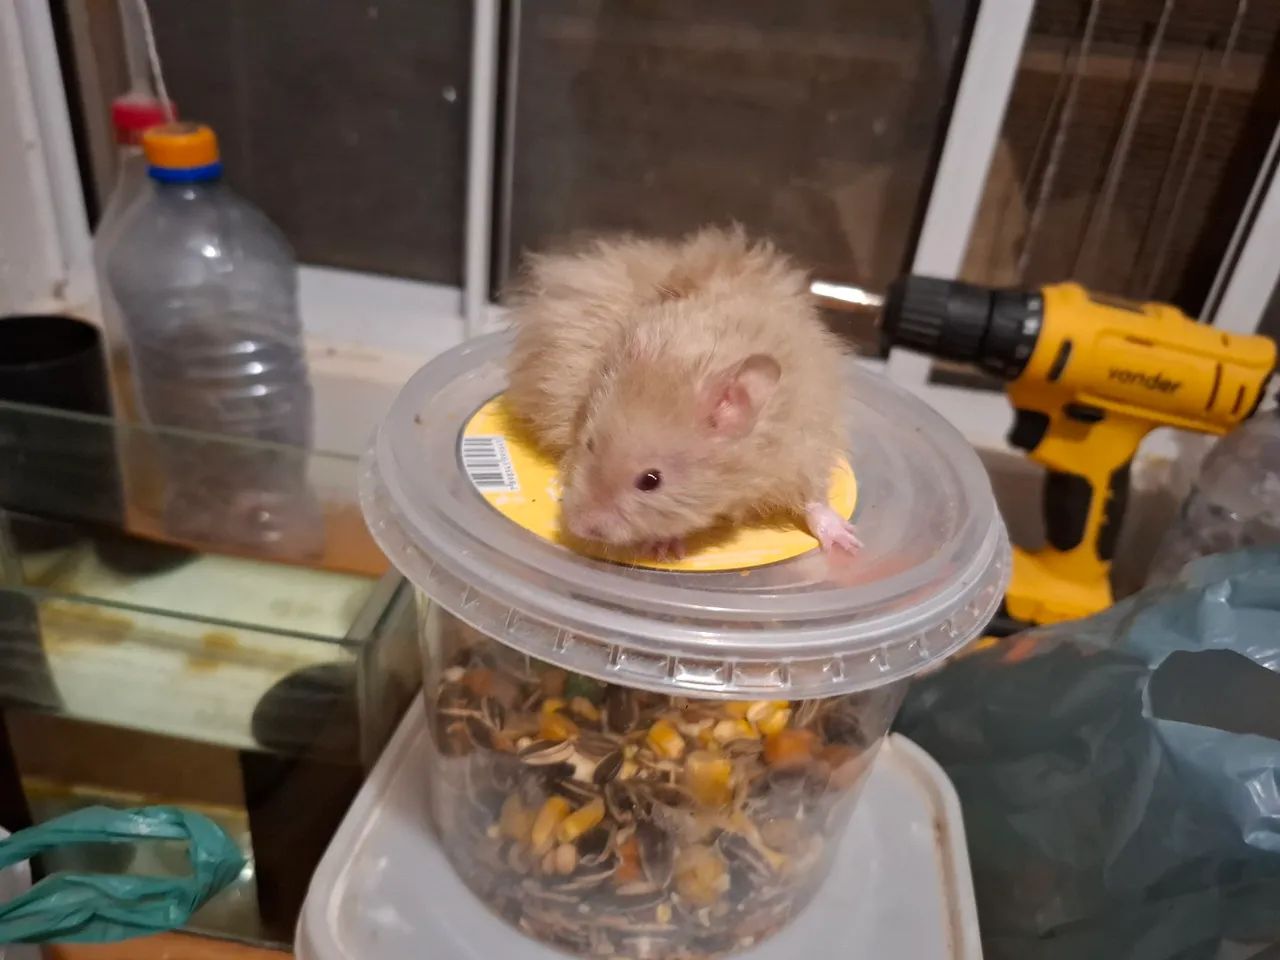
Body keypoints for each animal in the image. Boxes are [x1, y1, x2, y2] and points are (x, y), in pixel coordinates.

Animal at [505, 225, 860, 559]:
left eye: (651, 481)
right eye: (590, 444)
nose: (578, 527)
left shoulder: (806, 443)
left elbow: (815, 498)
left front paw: (848, 543)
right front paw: (663, 547)